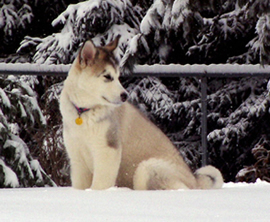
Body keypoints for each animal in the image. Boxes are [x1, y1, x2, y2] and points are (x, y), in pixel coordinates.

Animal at [59, 36, 224, 191]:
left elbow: (100, 185)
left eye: (118, 76)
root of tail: (195, 182)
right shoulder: (77, 157)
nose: (125, 95)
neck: (83, 112)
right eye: (107, 77)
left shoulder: (107, 150)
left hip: (147, 168)